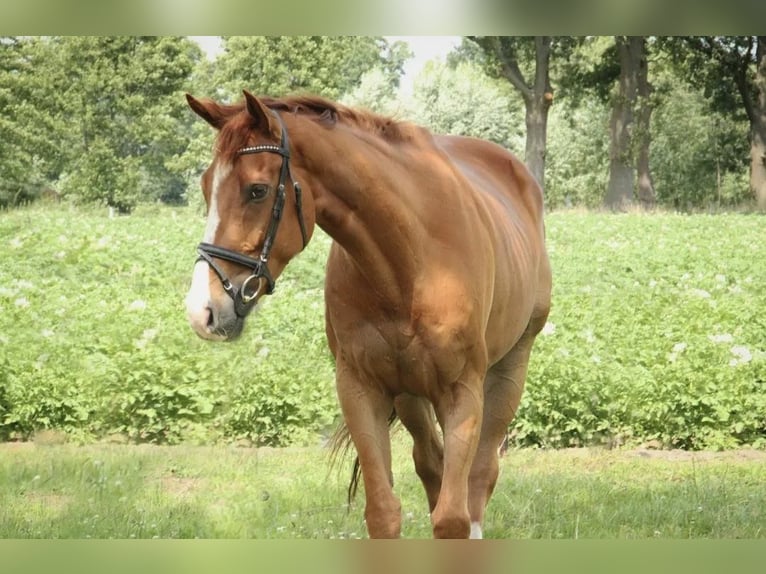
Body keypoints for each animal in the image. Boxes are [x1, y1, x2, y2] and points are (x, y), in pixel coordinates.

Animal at [184, 91, 552, 540]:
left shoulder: (463, 392)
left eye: (257, 190)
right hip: (411, 396)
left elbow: (453, 517)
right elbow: (383, 511)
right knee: (432, 464)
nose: (202, 310)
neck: (409, 263)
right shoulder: (361, 389)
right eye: (206, 186)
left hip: (509, 371)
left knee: (480, 476)